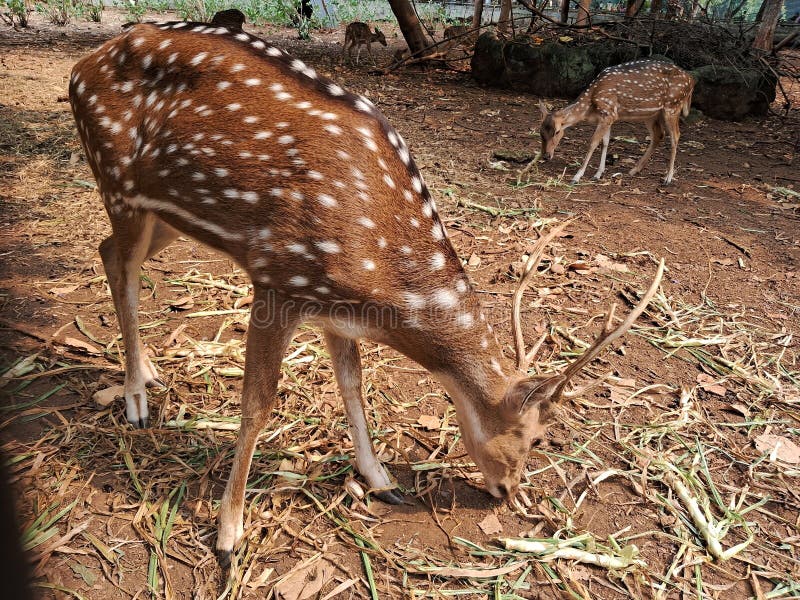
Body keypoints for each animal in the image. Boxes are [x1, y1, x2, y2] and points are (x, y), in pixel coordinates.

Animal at [67, 18, 664, 564]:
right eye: (537, 438)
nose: (508, 492)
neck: (380, 278)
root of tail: (81, 66)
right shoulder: (277, 276)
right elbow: (258, 403)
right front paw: (229, 534)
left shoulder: (333, 308)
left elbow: (353, 384)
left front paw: (381, 479)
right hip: (117, 183)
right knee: (121, 266)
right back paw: (136, 401)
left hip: (161, 215)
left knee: (106, 252)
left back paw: (146, 374)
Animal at [524, 60, 692, 185]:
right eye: (540, 132)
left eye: (557, 131)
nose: (546, 155)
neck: (590, 107)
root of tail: (691, 81)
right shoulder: (609, 117)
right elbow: (605, 142)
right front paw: (598, 174)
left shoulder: (608, 113)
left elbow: (593, 142)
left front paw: (577, 176)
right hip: (651, 114)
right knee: (659, 135)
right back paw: (634, 170)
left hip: (672, 106)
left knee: (675, 136)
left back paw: (668, 178)